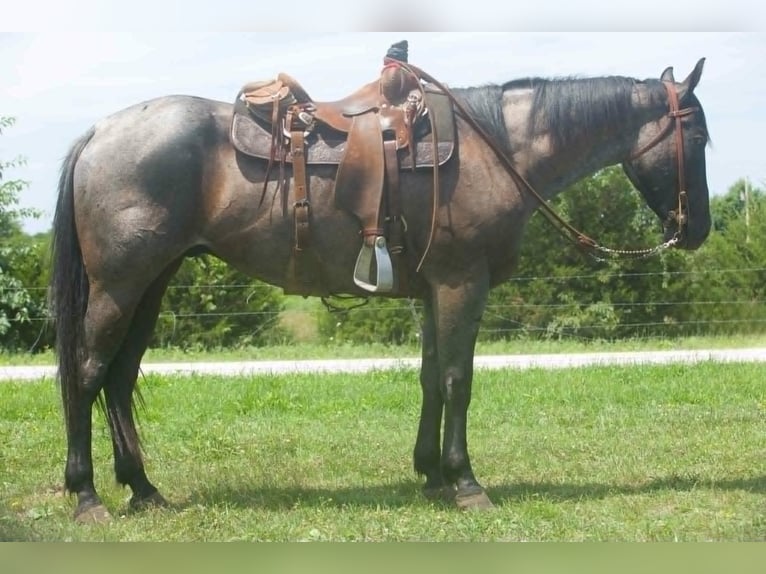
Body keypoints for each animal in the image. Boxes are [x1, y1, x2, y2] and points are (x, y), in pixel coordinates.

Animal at [50, 55, 711, 522]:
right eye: (699, 139)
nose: (698, 229)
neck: (495, 149)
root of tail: (99, 131)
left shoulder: (433, 288)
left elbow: (430, 378)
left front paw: (431, 474)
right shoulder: (461, 283)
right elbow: (458, 380)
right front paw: (465, 482)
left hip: (151, 284)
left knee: (119, 378)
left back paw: (144, 489)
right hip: (120, 285)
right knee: (86, 373)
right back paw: (87, 496)